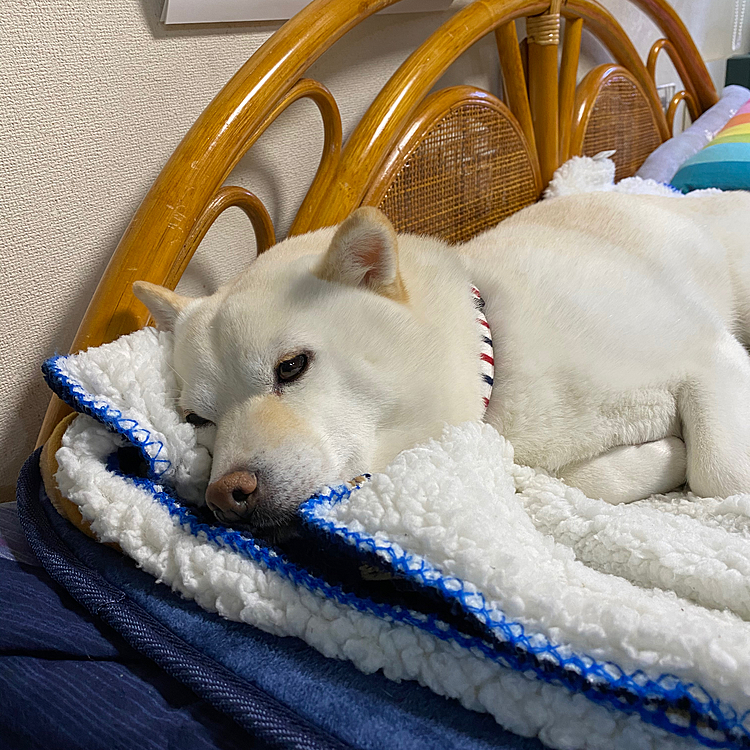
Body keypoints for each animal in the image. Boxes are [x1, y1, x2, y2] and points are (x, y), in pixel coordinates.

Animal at [134, 191, 750, 536]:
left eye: (291, 367)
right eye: (198, 420)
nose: (224, 495)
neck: (500, 354)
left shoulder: (711, 355)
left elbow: (719, 476)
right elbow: (582, 481)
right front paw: (666, 454)